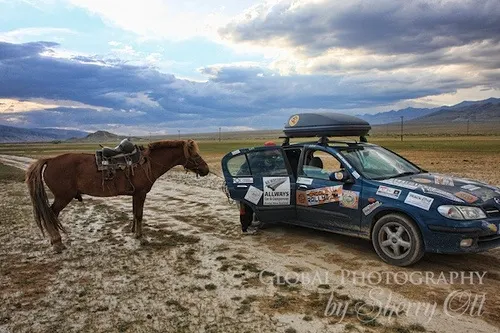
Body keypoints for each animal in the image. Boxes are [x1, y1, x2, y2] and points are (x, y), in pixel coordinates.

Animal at [25, 138, 209, 252]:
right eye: (194, 154)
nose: (206, 169)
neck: (147, 163)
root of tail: (50, 160)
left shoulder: (135, 194)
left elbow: (135, 213)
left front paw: (134, 233)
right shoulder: (141, 193)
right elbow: (139, 214)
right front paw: (141, 238)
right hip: (63, 197)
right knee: (51, 214)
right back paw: (57, 243)